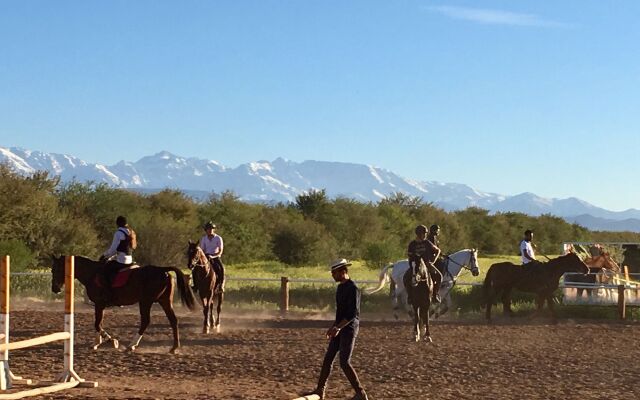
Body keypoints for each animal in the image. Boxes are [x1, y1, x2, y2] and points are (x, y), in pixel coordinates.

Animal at [51, 256, 196, 354]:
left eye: (55, 269)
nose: (54, 289)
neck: (92, 273)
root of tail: (162, 270)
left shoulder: (99, 304)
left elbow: (97, 324)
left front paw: (112, 341)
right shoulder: (100, 305)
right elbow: (98, 323)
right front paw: (96, 343)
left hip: (145, 301)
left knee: (146, 321)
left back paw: (131, 345)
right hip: (164, 301)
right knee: (173, 320)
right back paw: (174, 347)